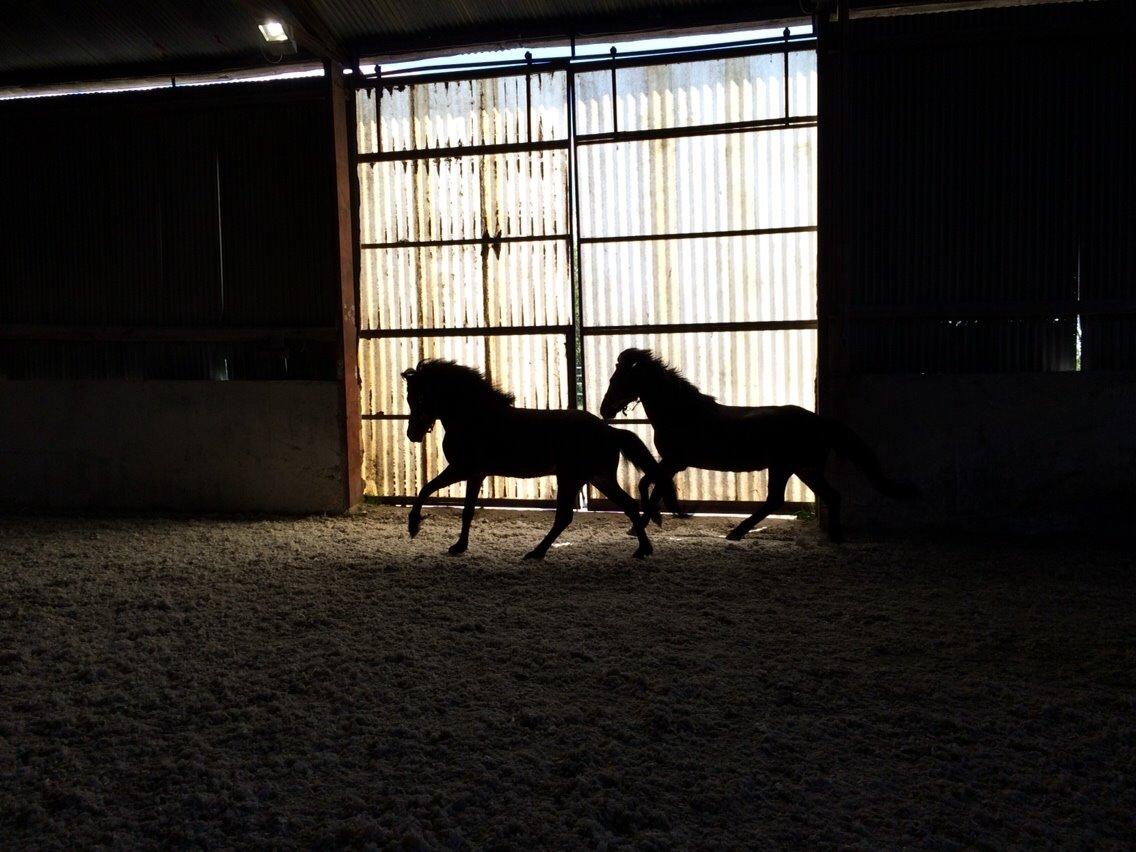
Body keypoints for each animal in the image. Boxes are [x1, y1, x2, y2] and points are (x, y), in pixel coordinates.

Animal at [404, 358, 663, 561]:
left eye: (419, 398)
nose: (412, 434)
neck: (475, 418)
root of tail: (610, 431)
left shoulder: (461, 468)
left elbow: (426, 489)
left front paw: (414, 526)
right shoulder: (476, 474)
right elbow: (467, 511)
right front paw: (459, 547)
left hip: (572, 478)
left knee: (564, 516)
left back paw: (536, 553)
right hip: (597, 478)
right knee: (628, 505)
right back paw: (643, 549)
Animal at [599, 347, 917, 543]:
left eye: (618, 380)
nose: (605, 410)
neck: (683, 413)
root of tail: (819, 421)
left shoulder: (674, 461)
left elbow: (647, 485)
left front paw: (648, 521)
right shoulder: (672, 464)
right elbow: (654, 489)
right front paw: (647, 523)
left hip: (785, 466)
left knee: (775, 500)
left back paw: (737, 532)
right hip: (804, 468)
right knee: (831, 496)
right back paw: (835, 538)